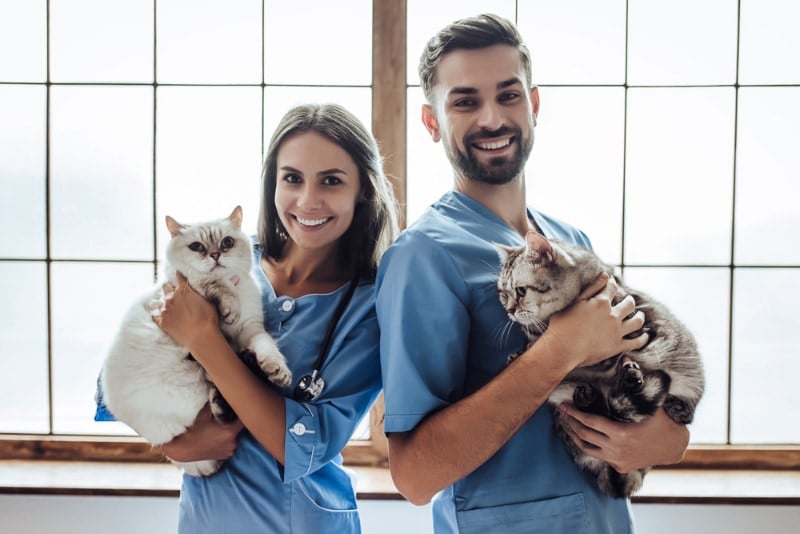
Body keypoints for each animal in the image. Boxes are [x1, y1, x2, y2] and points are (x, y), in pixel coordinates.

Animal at [100, 205, 292, 478]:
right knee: (218, 405)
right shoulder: (191, 284)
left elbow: (267, 347)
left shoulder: (251, 330)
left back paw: (249, 364)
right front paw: (229, 308)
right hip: (191, 381)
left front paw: (277, 370)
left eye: (227, 242)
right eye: (197, 247)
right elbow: (215, 283)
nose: (215, 255)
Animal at [494, 232, 708, 500]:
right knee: (605, 410)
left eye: (521, 291)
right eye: (503, 294)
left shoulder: (638, 331)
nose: (509, 311)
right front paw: (521, 351)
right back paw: (591, 397)